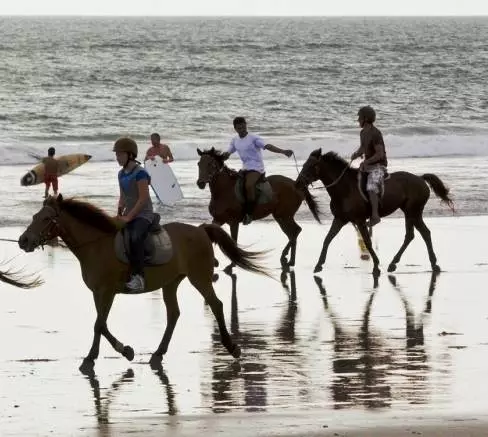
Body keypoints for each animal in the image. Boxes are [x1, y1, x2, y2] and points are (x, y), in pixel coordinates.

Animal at [17, 195, 272, 374]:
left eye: (46, 219)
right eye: (34, 216)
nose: (23, 240)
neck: (96, 244)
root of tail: (200, 230)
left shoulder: (107, 291)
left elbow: (99, 324)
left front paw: (91, 358)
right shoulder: (98, 292)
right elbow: (101, 324)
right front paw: (125, 351)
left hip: (199, 277)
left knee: (216, 305)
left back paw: (232, 347)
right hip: (171, 283)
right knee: (174, 314)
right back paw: (158, 353)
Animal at [296, 148, 456, 274]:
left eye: (311, 166)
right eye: (304, 164)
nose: (298, 183)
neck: (345, 188)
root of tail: (420, 178)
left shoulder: (360, 220)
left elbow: (367, 242)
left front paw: (376, 266)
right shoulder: (340, 219)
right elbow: (327, 239)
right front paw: (318, 265)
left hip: (413, 212)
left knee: (418, 234)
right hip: (411, 212)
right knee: (417, 234)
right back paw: (416, 264)